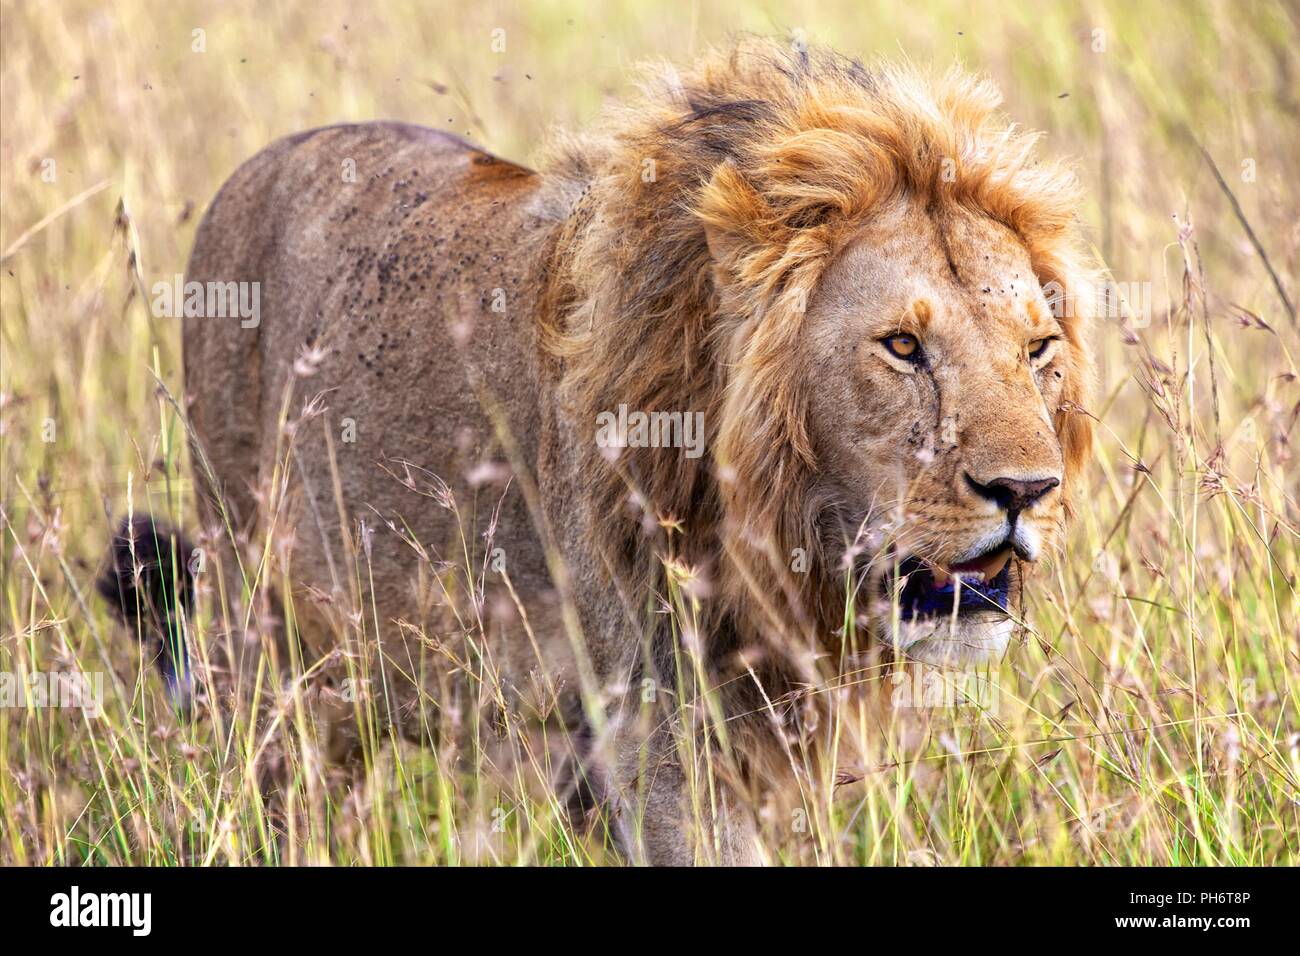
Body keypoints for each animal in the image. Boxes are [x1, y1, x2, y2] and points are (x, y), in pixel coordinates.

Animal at [102, 37, 1093, 865]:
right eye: (901, 347)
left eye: (1038, 350)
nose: (1026, 490)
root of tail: (263, 162)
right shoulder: (659, 728)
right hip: (258, 630)